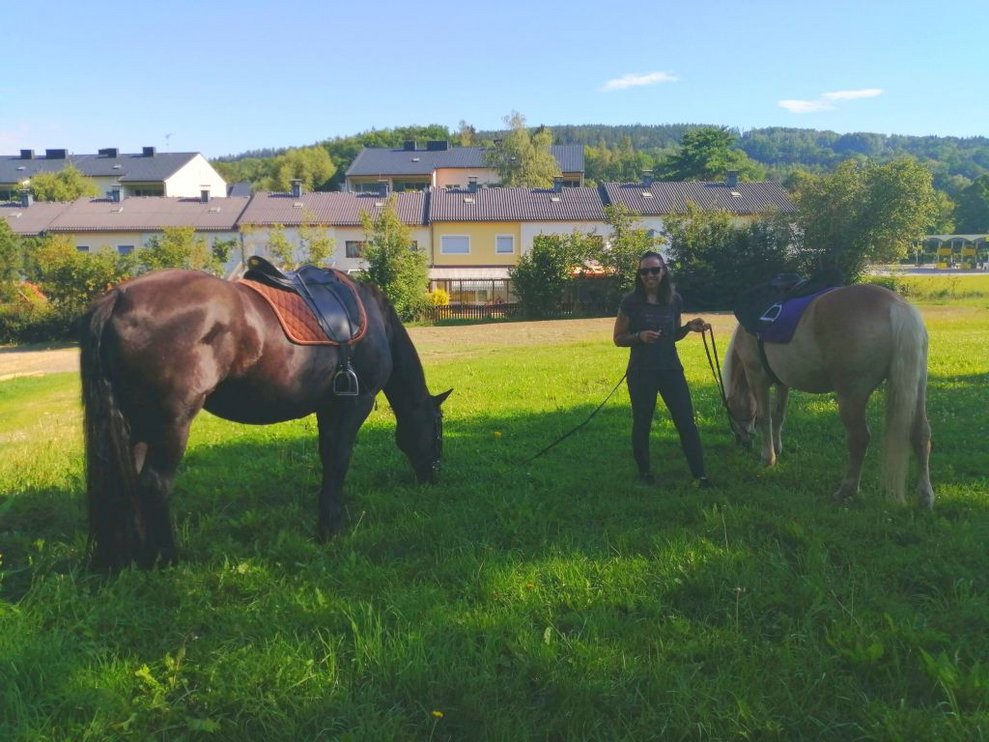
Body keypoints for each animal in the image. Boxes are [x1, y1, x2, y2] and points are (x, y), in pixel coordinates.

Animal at [79, 268, 452, 569]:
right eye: (438, 428)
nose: (433, 475)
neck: (375, 323)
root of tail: (117, 298)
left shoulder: (328, 407)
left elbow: (328, 458)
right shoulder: (353, 404)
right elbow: (338, 462)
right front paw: (331, 528)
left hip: (140, 422)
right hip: (172, 423)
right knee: (155, 484)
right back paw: (169, 558)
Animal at [722, 283, 933, 506]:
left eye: (731, 413)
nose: (742, 442)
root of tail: (896, 305)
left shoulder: (757, 377)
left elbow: (765, 418)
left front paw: (767, 458)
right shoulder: (782, 383)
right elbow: (778, 416)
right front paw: (777, 449)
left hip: (851, 396)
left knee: (859, 439)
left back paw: (846, 490)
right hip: (917, 388)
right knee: (921, 434)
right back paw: (925, 496)